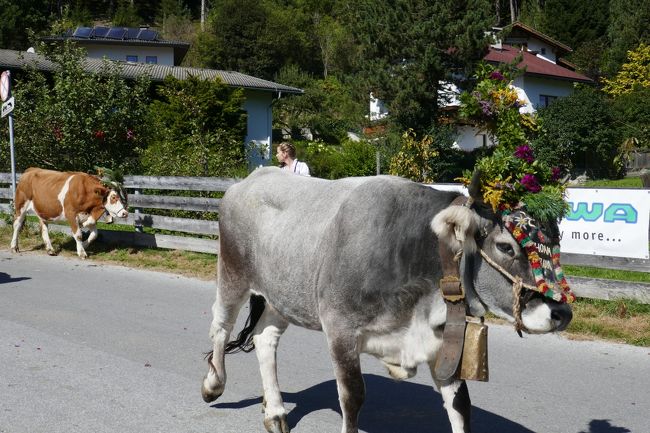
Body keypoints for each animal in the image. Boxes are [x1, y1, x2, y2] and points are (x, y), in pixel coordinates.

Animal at [200, 167, 568, 432]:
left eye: (556, 246)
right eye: (505, 246)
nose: (561, 313)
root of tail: (254, 176)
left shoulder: (440, 341)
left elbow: (460, 405)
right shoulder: (340, 329)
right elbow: (353, 397)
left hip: (285, 295)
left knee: (265, 338)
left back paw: (275, 412)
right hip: (232, 274)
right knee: (220, 324)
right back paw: (214, 384)